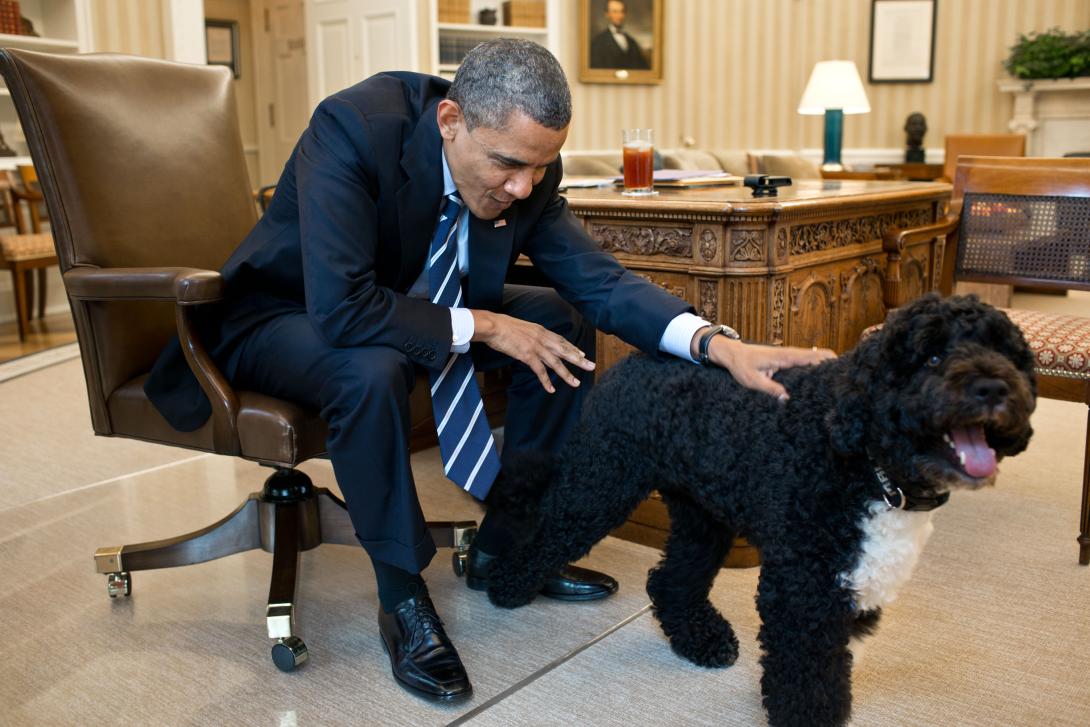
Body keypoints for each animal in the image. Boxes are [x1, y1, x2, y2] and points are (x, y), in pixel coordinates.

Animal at [488, 296, 1037, 727]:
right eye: (932, 355)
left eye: (1006, 353)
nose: (993, 387)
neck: (866, 461)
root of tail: (634, 360)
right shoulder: (800, 590)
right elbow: (807, 682)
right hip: (601, 482)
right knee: (545, 531)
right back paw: (504, 584)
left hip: (702, 514)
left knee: (671, 580)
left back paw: (701, 639)